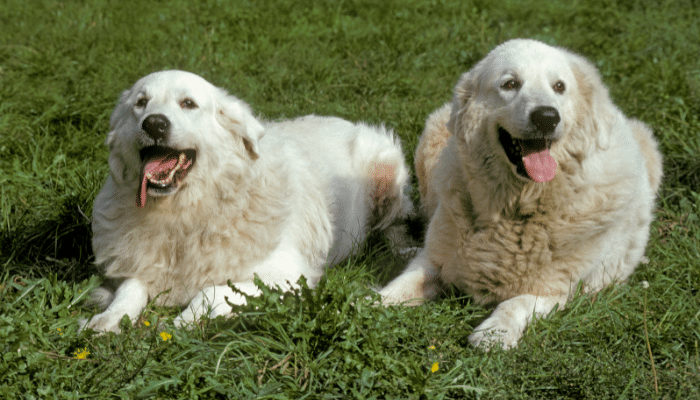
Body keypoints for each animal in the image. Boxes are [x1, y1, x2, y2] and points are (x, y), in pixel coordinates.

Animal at [82, 70, 412, 332]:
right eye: (140, 103)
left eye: (188, 104)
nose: (154, 124)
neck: (187, 213)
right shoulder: (139, 263)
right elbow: (130, 288)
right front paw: (106, 319)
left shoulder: (289, 277)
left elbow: (210, 291)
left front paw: (182, 322)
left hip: (386, 170)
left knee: (396, 224)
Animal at [380, 38, 660, 350]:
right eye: (510, 84)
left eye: (559, 87)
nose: (547, 117)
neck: (517, 208)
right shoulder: (435, 260)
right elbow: (404, 282)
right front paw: (371, 302)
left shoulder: (556, 291)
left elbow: (516, 303)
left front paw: (494, 332)